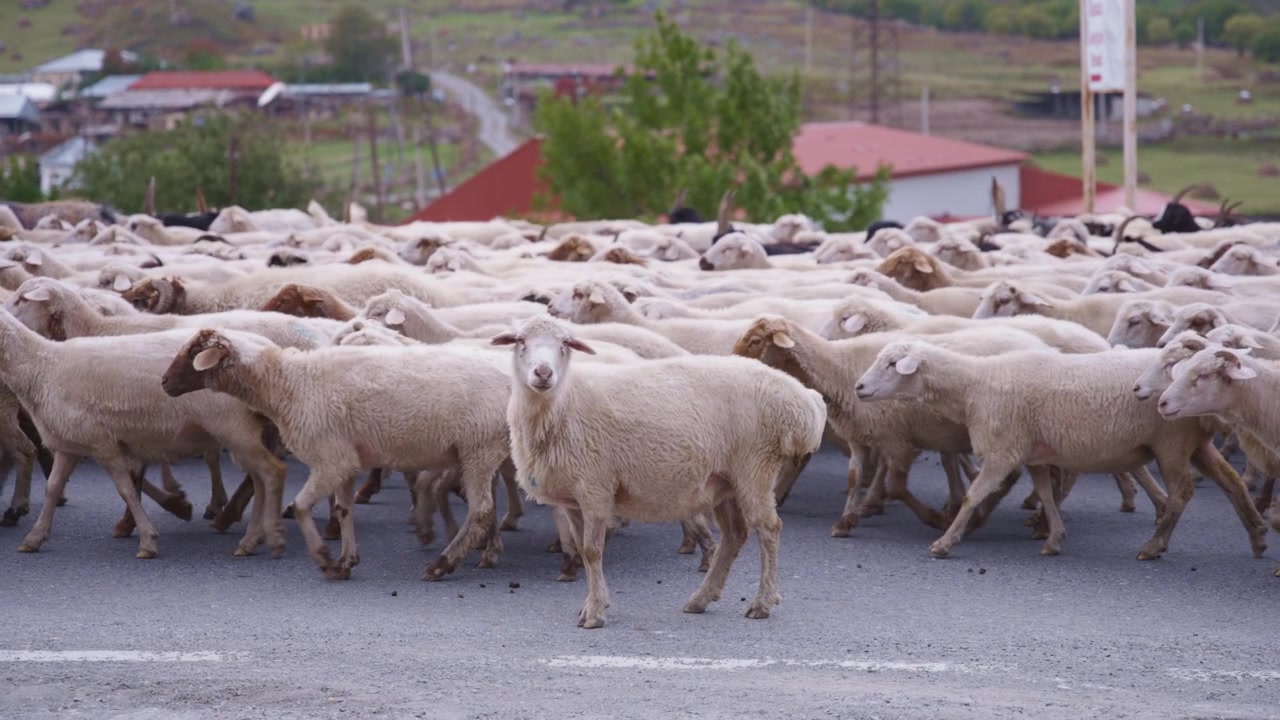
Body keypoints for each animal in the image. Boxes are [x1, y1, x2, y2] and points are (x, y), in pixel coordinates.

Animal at [161, 328, 513, 581]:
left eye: (194, 353)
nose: (164, 382)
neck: (287, 384)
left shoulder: (330, 458)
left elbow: (300, 506)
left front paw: (324, 559)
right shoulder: (347, 460)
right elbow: (344, 510)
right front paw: (346, 561)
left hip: (479, 448)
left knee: (481, 510)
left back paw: (442, 564)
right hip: (478, 451)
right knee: (484, 507)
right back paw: (479, 553)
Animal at [491, 315, 825, 627]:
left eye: (564, 343)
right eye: (520, 341)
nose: (543, 373)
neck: (562, 405)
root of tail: (802, 399)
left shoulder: (596, 487)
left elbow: (593, 551)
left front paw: (595, 612)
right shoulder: (574, 497)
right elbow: (583, 552)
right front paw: (591, 604)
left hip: (755, 466)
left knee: (768, 529)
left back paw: (762, 602)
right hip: (725, 479)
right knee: (735, 535)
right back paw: (701, 598)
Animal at [853, 342, 1266, 560]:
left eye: (892, 364)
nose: (858, 387)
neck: (975, 385)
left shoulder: (1003, 450)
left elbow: (973, 496)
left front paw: (945, 541)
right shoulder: (1034, 452)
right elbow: (1047, 495)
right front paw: (1053, 537)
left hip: (1172, 442)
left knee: (1183, 492)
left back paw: (1154, 545)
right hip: (1195, 442)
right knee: (1231, 482)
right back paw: (1258, 535)